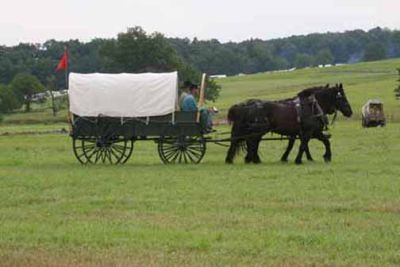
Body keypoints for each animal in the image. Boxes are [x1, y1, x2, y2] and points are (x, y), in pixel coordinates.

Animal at [225, 85, 354, 165]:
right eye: (342, 97)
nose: (350, 112)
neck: (312, 106)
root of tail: (247, 106)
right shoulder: (308, 132)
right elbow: (303, 146)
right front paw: (298, 160)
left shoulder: (312, 132)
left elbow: (323, 142)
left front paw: (325, 157)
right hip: (258, 130)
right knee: (251, 142)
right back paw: (251, 159)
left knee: (249, 142)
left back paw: (249, 159)